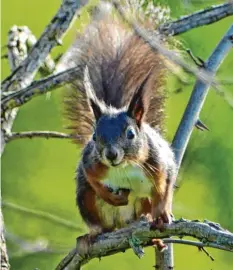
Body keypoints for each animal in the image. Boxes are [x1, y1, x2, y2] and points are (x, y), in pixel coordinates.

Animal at [58, 3, 177, 236]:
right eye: (94, 137)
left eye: (131, 134)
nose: (111, 155)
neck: (125, 165)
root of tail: (121, 223)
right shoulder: (90, 162)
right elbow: (92, 177)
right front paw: (109, 196)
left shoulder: (160, 164)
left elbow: (165, 189)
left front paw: (161, 215)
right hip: (86, 200)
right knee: (99, 221)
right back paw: (92, 236)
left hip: (141, 204)